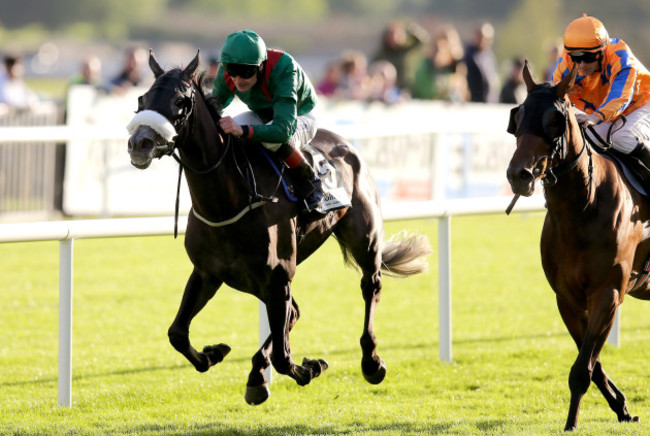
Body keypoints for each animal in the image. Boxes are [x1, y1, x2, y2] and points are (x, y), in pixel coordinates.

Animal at [126, 51, 430, 406]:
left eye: (179, 101)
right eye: (142, 99)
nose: (140, 143)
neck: (228, 200)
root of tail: (343, 142)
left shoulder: (278, 275)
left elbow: (285, 358)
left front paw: (310, 368)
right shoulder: (208, 273)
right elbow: (177, 333)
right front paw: (214, 353)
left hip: (363, 238)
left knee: (371, 286)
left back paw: (371, 361)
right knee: (293, 314)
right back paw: (257, 373)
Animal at [506, 60, 648, 430]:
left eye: (555, 119)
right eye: (518, 114)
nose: (518, 174)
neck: (582, 208)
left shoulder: (608, 294)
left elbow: (583, 367)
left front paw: (571, 423)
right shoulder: (566, 297)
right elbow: (592, 365)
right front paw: (622, 408)